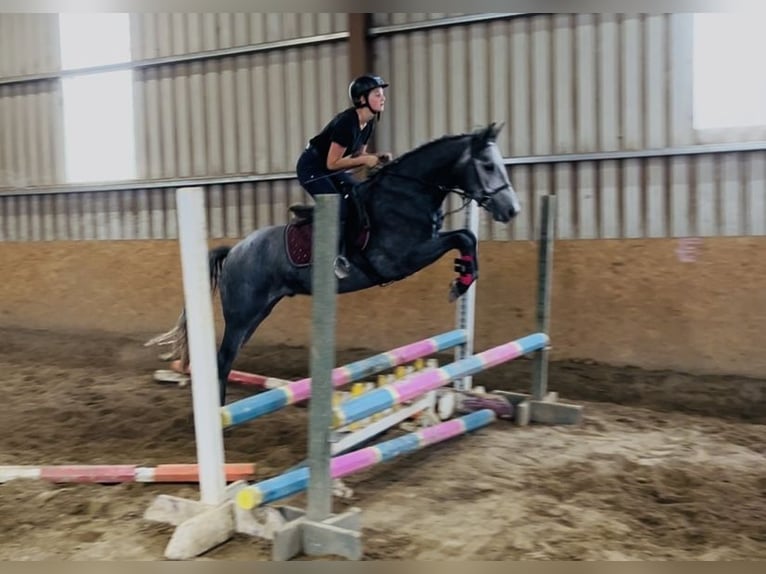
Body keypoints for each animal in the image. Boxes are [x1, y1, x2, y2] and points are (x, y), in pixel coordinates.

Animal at [147, 122, 521, 405]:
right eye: (488, 165)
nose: (511, 210)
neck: (409, 192)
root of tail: (235, 251)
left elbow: (466, 237)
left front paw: (463, 275)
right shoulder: (401, 259)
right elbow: (461, 237)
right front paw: (460, 281)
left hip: (258, 311)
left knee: (226, 359)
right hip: (242, 314)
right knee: (222, 360)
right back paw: (220, 417)